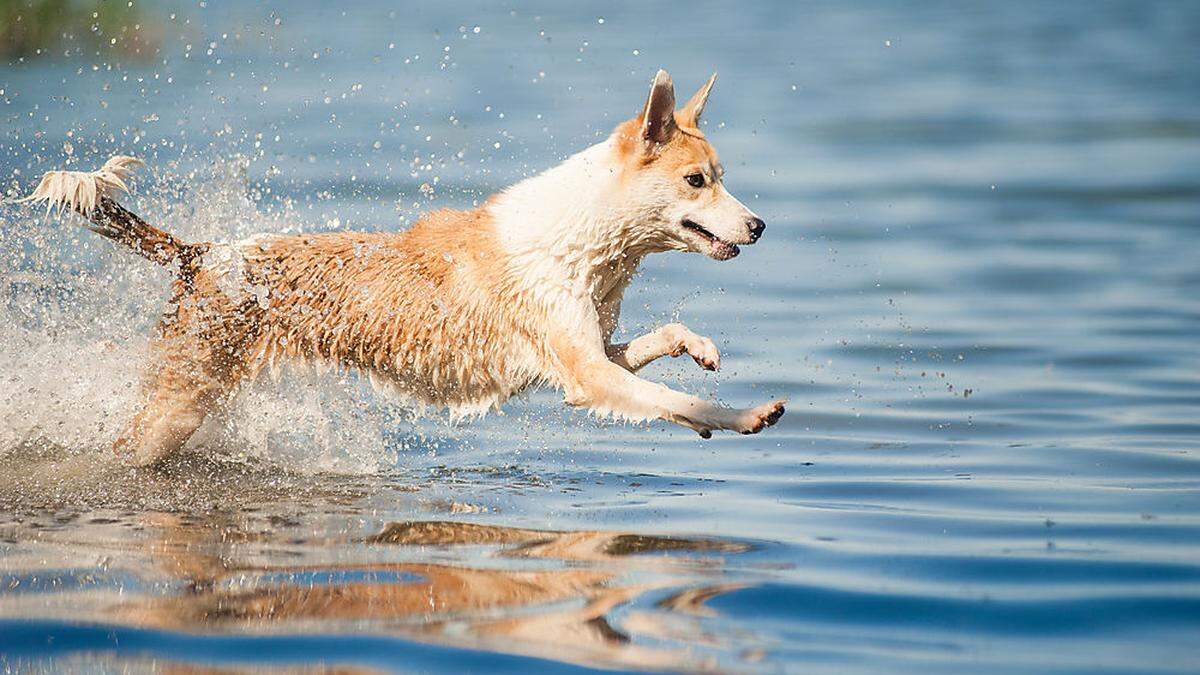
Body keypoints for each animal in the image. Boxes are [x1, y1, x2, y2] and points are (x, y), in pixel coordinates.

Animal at [18, 70, 792, 466]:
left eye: (720, 176)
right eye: (696, 181)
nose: (758, 226)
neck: (585, 240)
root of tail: (199, 254)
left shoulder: (588, 351)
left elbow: (663, 342)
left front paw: (702, 349)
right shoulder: (588, 375)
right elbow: (673, 399)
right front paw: (745, 414)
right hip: (176, 405)